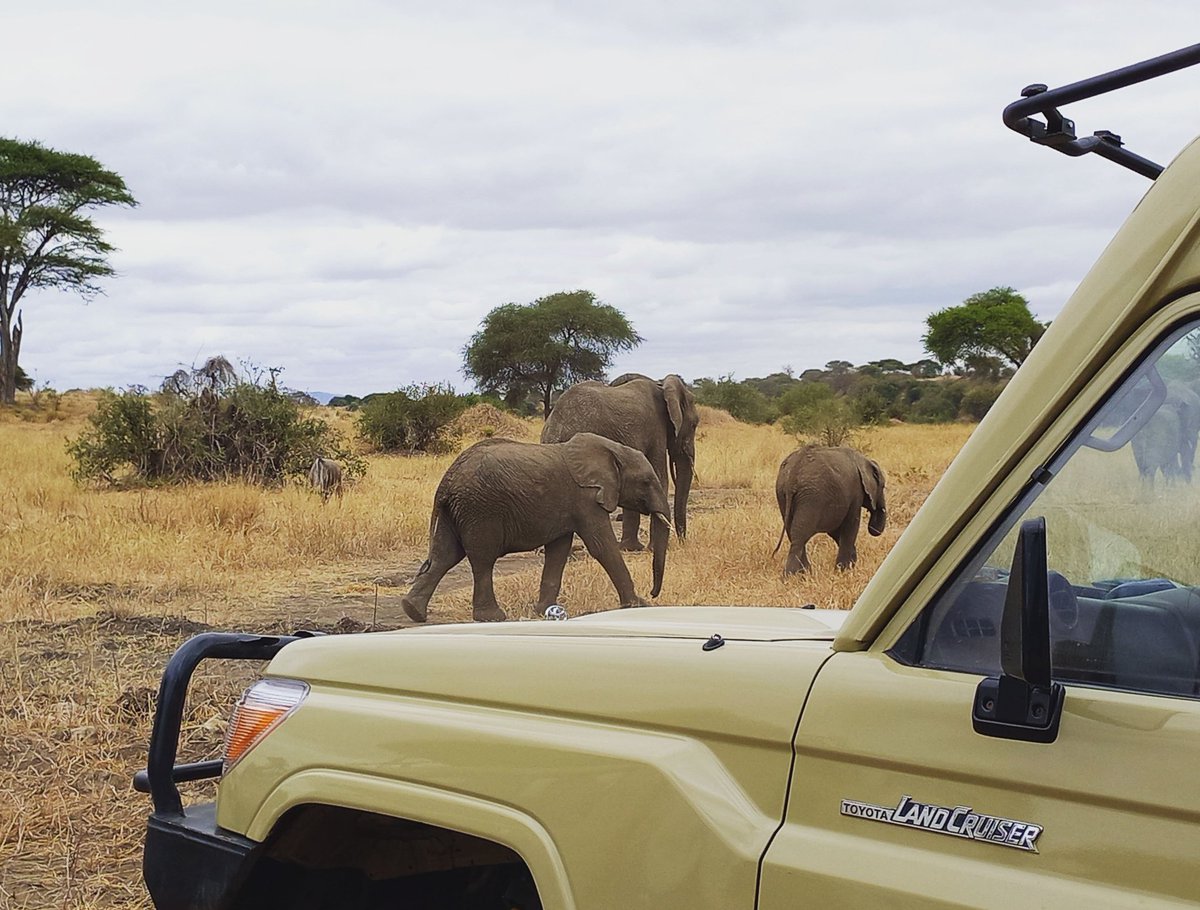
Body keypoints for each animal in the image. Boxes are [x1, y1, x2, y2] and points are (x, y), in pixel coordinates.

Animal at [400, 433, 672, 623]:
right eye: (646, 482)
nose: (653, 593)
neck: (612, 449)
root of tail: (447, 479)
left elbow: (558, 551)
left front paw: (543, 611)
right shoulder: (586, 498)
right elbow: (602, 546)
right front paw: (639, 605)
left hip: (457, 510)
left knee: (445, 556)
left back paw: (413, 611)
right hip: (479, 509)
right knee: (482, 559)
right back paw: (492, 617)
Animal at [541, 373, 699, 554]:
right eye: (694, 425)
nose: (682, 542)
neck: (661, 386)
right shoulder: (656, 429)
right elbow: (660, 478)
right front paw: (642, 549)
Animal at [773, 445, 887, 574]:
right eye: (883, 486)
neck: (863, 459)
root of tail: (792, 474)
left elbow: (835, 531)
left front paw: (850, 564)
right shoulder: (856, 493)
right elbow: (851, 526)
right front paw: (844, 570)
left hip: (783, 493)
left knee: (792, 532)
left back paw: (805, 573)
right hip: (811, 497)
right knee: (799, 535)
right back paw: (793, 575)